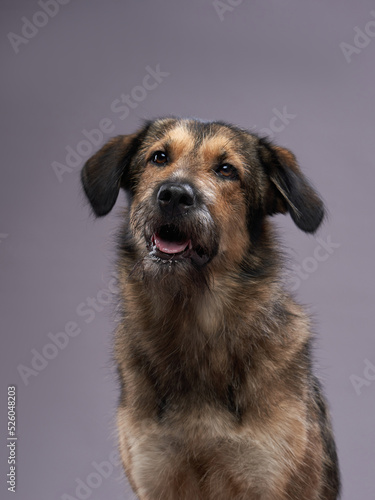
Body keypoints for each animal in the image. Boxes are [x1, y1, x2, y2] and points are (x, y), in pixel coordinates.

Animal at [81, 118, 340, 500]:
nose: (174, 194)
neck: (193, 324)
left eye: (226, 170)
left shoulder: (269, 475)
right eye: (159, 157)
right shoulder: (155, 475)